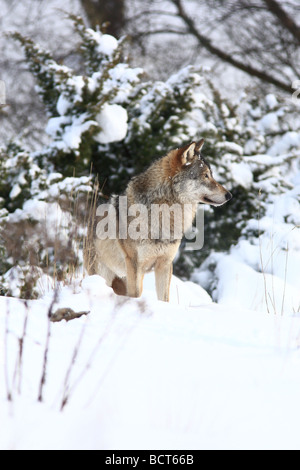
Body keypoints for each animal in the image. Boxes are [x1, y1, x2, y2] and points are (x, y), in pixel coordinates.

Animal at [84, 139, 232, 302]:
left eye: (211, 175)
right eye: (206, 175)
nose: (229, 195)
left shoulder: (165, 264)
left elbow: (164, 298)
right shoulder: (134, 264)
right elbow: (135, 296)